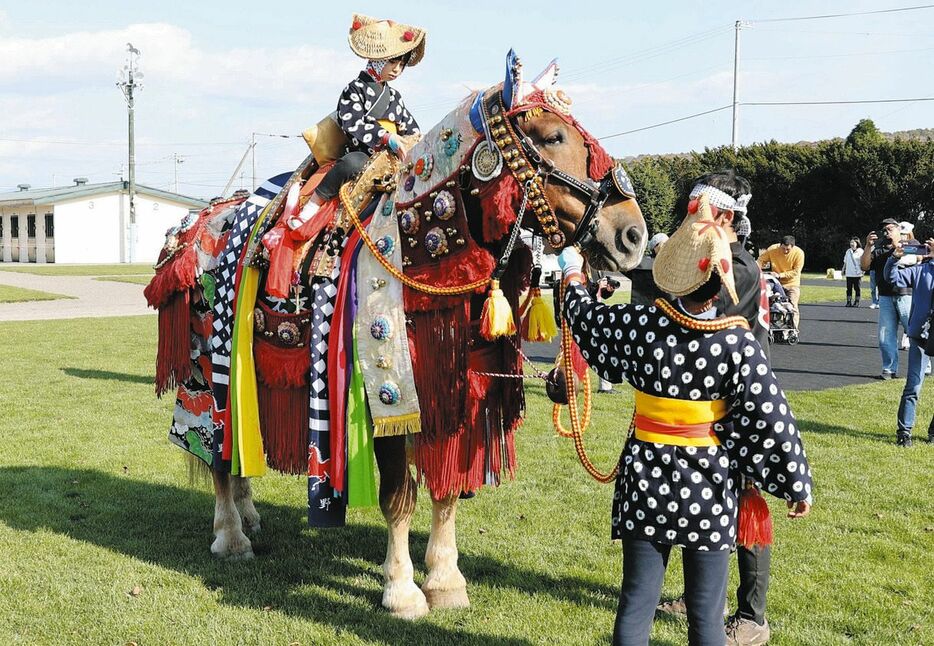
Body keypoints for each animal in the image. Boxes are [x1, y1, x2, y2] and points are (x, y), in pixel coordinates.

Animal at [146, 49, 648, 616]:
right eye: (553, 136)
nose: (632, 235)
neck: (423, 257)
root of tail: (194, 227)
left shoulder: (458, 394)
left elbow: (446, 490)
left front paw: (446, 580)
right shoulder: (385, 398)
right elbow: (399, 497)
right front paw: (402, 588)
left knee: (234, 454)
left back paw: (250, 516)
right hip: (208, 372)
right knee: (215, 453)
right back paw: (231, 536)